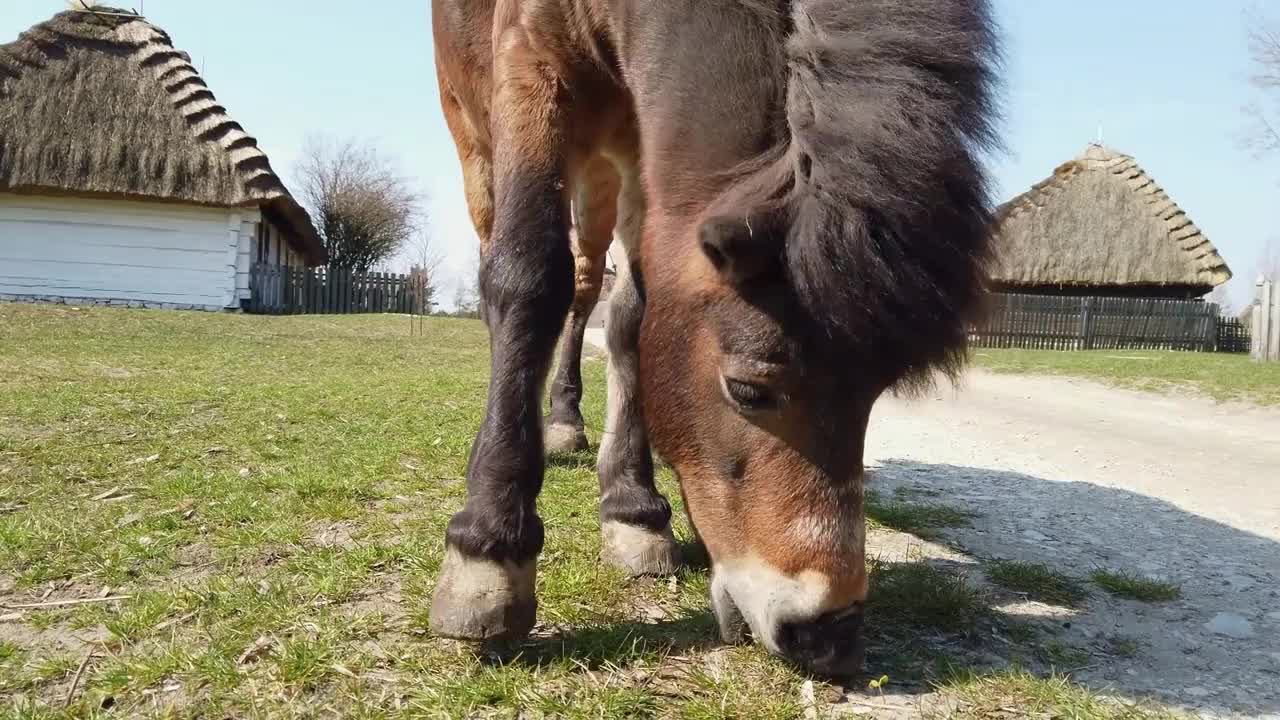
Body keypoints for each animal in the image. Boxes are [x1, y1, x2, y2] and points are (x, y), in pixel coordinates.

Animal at [430, 0, 998, 671]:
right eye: (748, 389)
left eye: (875, 395)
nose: (829, 633)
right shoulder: (531, 61)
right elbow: (528, 277)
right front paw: (489, 553)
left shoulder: (643, 138)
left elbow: (635, 313)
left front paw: (635, 511)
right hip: (478, 135)